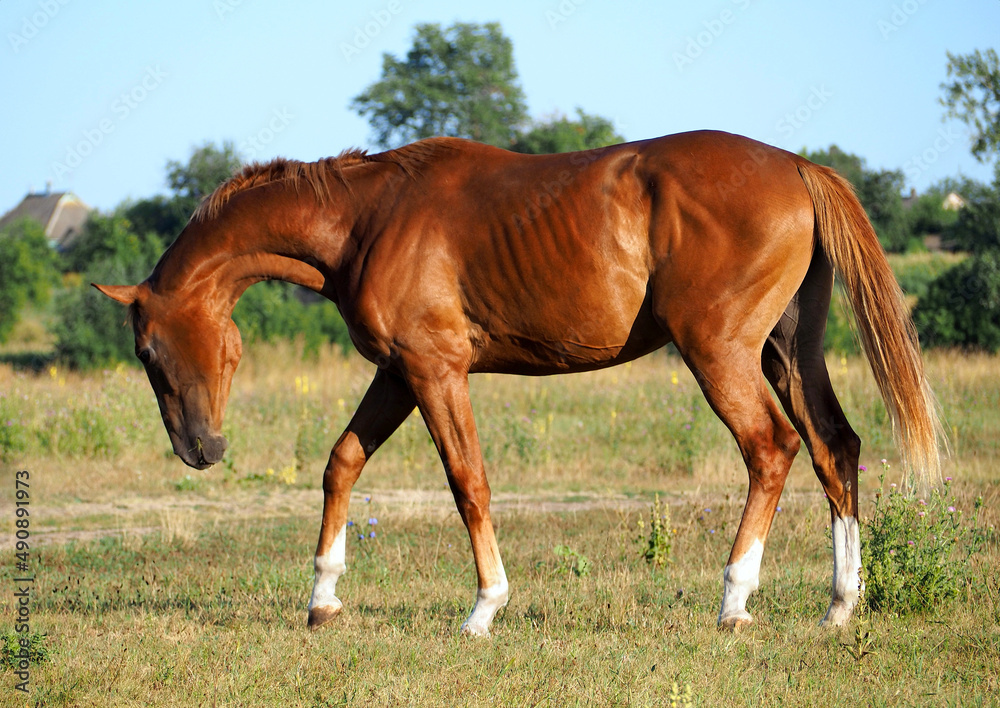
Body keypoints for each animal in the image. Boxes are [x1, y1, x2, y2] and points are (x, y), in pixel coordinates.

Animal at [95, 130, 942, 636]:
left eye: (149, 352)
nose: (199, 451)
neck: (371, 217)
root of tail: (798, 166)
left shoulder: (436, 371)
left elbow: (468, 481)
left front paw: (484, 608)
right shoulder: (398, 372)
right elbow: (343, 462)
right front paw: (323, 597)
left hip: (721, 353)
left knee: (772, 449)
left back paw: (735, 599)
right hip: (786, 351)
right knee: (836, 448)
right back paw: (840, 604)